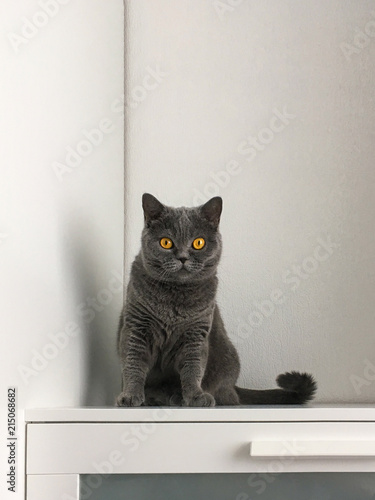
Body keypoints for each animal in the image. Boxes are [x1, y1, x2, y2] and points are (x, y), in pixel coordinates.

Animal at [117, 193, 318, 408]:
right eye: (166, 242)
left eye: (198, 243)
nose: (183, 257)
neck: (175, 300)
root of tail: (233, 387)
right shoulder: (136, 327)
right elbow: (133, 363)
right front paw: (130, 396)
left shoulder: (196, 333)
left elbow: (193, 368)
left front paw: (195, 396)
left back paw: (177, 397)